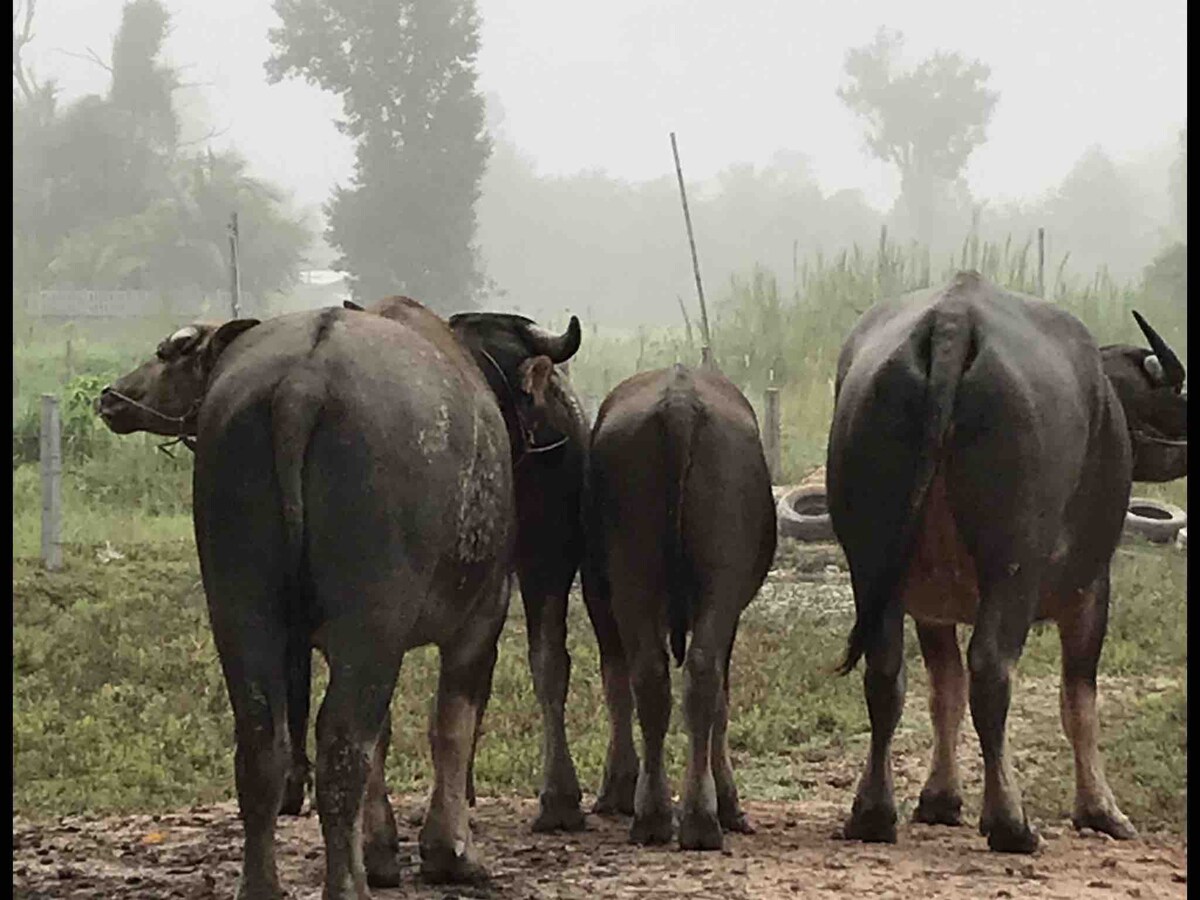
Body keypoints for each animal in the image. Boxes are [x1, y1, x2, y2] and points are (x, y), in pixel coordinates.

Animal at [93, 304, 571, 900]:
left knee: (263, 742)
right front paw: (450, 852)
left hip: (241, 608)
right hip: (371, 619)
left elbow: (384, 736)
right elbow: (449, 729)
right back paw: (346, 885)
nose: (111, 397)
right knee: (342, 745)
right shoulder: (480, 618)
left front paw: (381, 852)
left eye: (170, 352)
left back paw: (264, 884)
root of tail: (304, 382)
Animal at [583, 364, 777, 854]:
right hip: (715, 584)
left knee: (654, 677)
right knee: (698, 677)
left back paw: (658, 815)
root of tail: (680, 402)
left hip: (635, 578)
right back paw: (695, 816)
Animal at [830, 273, 1185, 859]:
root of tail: (953, 321)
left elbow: (943, 692)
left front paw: (940, 799)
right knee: (993, 672)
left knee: (885, 673)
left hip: (871, 564)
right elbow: (1079, 700)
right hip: (1013, 567)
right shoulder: (1091, 589)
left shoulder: (931, 607)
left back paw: (872, 813)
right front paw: (1100, 809)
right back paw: (1011, 824)